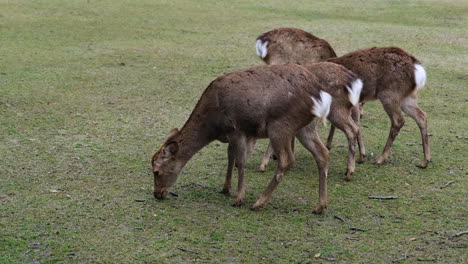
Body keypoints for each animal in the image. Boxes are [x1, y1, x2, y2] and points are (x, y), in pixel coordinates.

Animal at [152, 64, 338, 214]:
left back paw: (258, 203)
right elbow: (230, 156)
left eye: (156, 171)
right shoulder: (234, 134)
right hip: (306, 127)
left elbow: (240, 161)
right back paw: (320, 206)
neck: (213, 126)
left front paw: (239, 198)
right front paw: (225, 188)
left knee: (286, 160)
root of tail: (319, 93)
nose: (157, 194)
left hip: (280, 125)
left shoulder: (236, 129)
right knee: (322, 153)